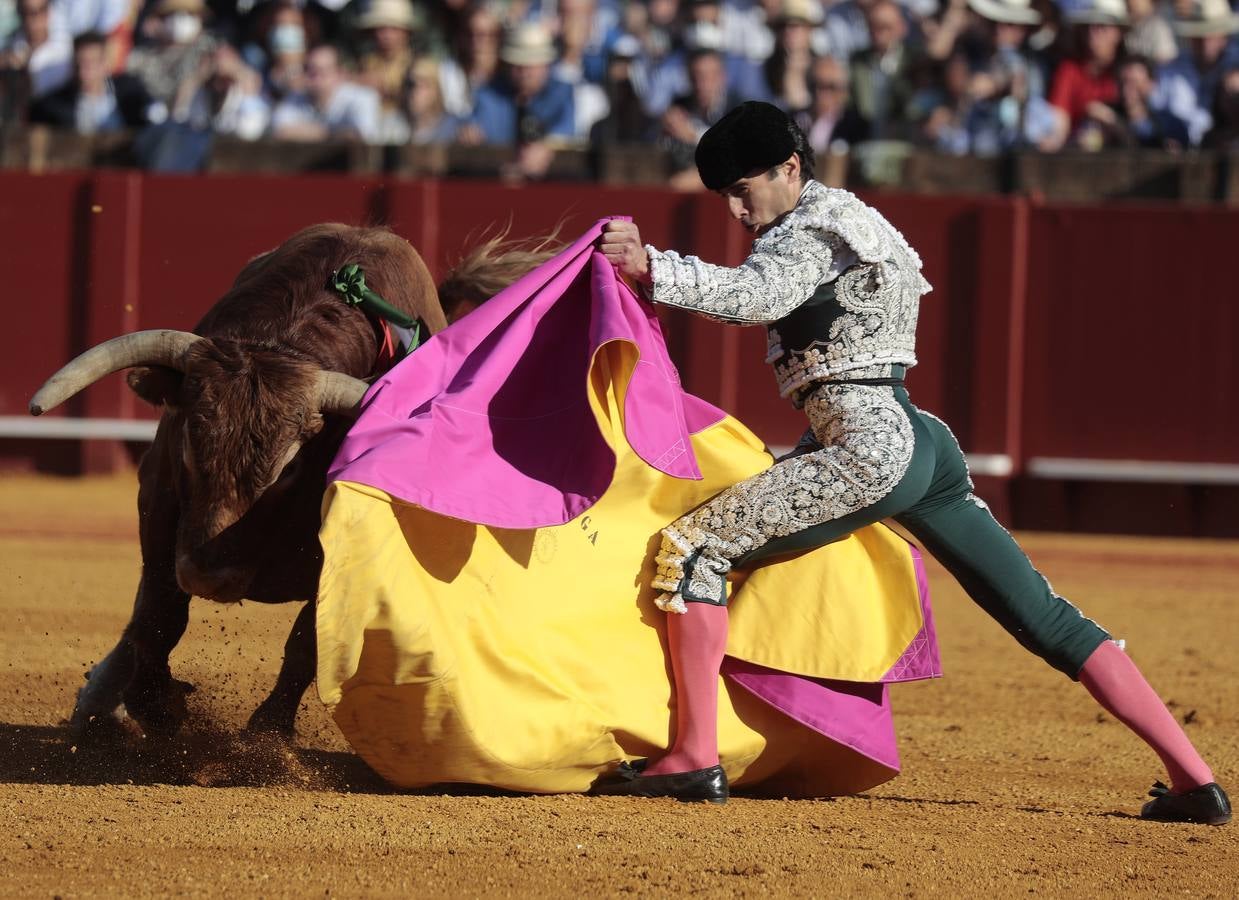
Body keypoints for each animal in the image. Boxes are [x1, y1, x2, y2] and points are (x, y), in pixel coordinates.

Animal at [29, 221, 555, 738]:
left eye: (290, 469)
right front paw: (153, 704)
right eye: (189, 445)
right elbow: (159, 612)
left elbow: (306, 641)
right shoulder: (159, 508)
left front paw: (268, 735)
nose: (207, 575)